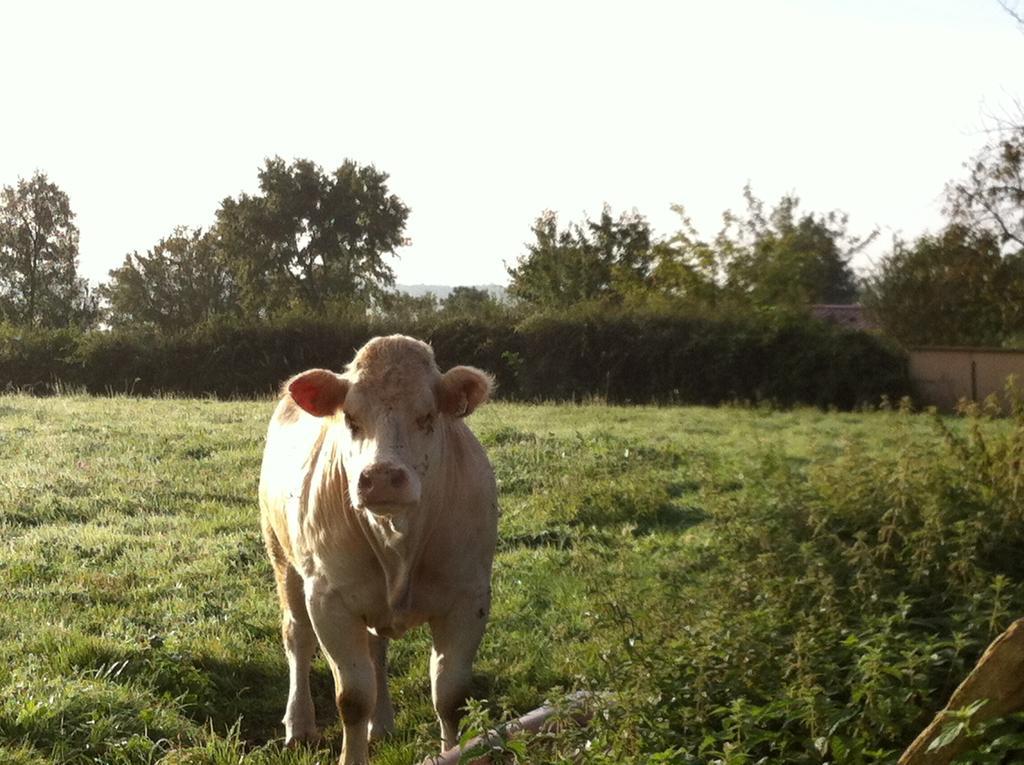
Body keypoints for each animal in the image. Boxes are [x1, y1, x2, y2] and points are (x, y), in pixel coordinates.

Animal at [256, 335, 495, 765]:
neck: (397, 541)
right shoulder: (329, 600)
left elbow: (450, 695)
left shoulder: (469, 598)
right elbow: (352, 697)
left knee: (375, 649)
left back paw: (380, 726)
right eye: (350, 418)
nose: (382, 477)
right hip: (282, 558)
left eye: (427, 416)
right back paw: (299, 726)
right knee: (297, 638)